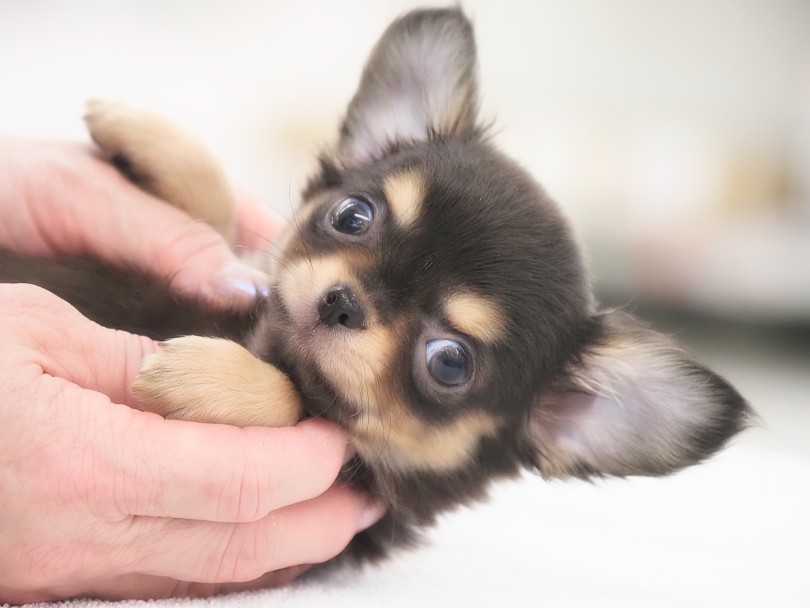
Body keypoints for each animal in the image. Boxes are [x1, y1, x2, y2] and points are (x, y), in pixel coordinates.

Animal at [0, 8, 748, 560]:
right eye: (352, 216)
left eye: (450, 363)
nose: (342, 302)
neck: (258, 334)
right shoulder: (241, 267)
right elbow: (226, 231)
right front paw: (147, 135)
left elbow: (293, 397)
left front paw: (199, 376)